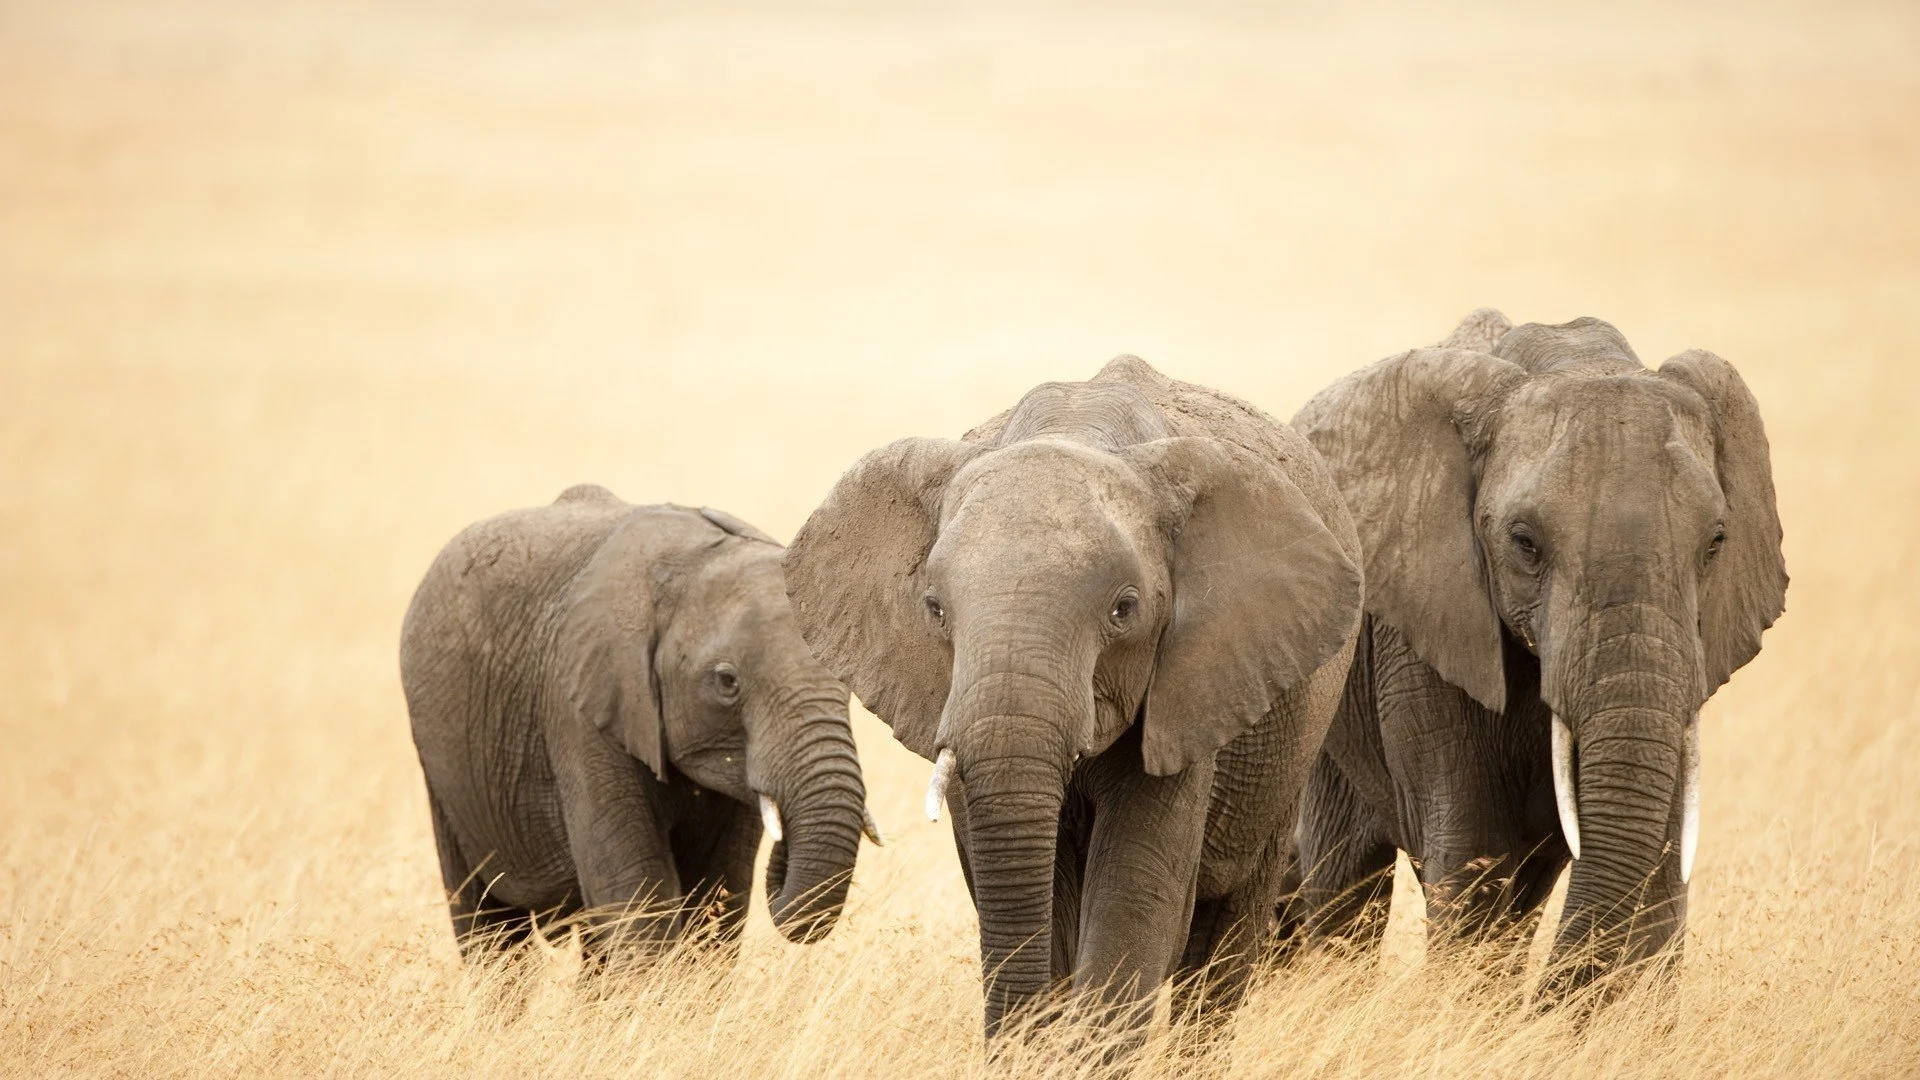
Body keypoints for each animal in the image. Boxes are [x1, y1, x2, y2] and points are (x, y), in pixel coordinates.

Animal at [399, 486, 878, 962]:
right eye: (727, 681)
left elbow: (718, 896)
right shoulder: (581, 707)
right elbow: (637, 897)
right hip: (442, 769)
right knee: (489, 926)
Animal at [1282, 309, 1786, 993]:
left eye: (1716, 542)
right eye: (1524, 543)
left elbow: (1657, 860)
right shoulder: (1424, 636)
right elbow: (1474, 854)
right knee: (1344, 879)